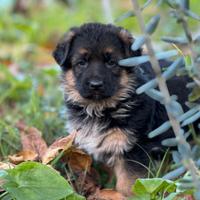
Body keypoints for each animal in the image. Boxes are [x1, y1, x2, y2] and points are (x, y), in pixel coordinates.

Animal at [52, 22, 190, 196]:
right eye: (81, 63)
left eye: (111, 62)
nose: (95, 85)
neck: (101, 108)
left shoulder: (133, 148)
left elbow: (128, 184)